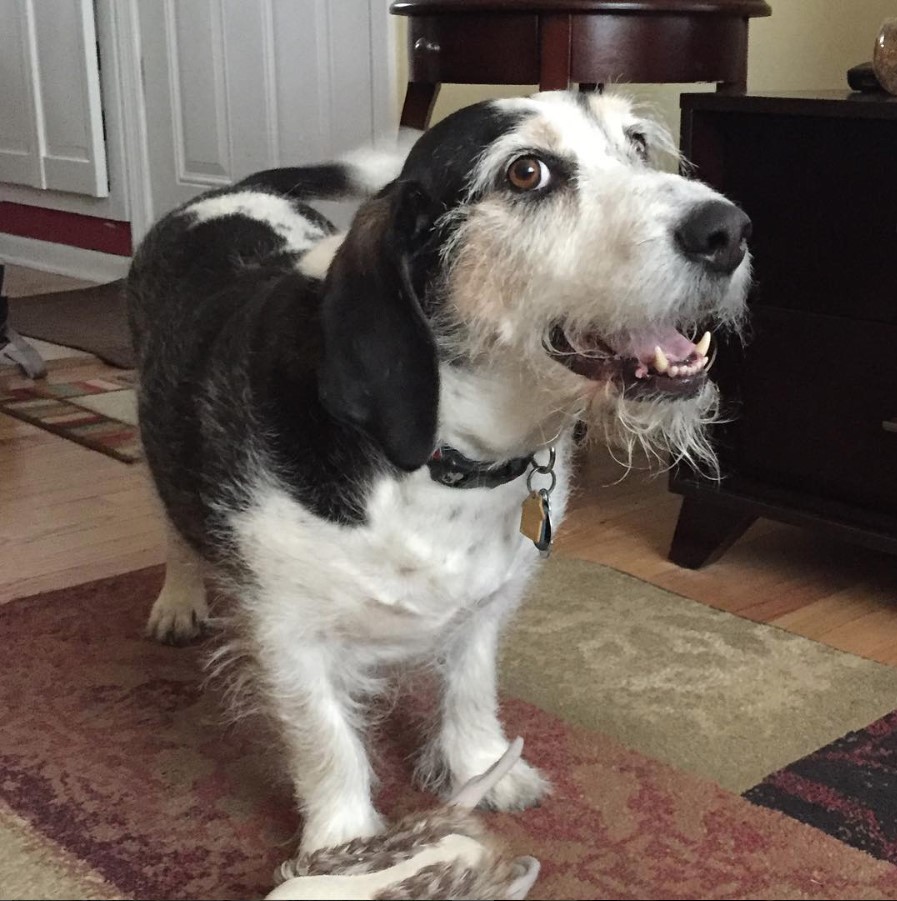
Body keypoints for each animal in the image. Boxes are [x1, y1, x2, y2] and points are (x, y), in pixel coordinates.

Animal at [128, 93, 748, 856]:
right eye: (525, 172)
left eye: (635, 142)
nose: (727, 230)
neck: (445, 459)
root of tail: (227, 193)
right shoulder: (288, 632)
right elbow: (324, 739)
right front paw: (345, 846)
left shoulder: (486, 603)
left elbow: (471, 684)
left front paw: (484, 767)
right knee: (170, 517)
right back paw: (178, 599)